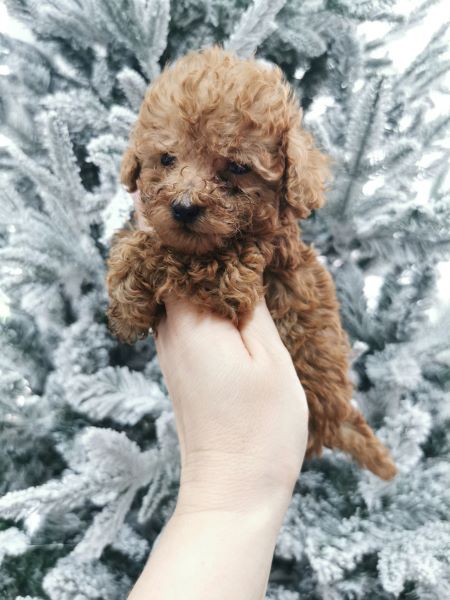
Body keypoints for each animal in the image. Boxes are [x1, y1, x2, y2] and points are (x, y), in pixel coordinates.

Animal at [107, 45, 396, 478]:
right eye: (167, 159)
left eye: (238, 168)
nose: (183, 208)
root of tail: (339, 415)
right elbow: (138, 240)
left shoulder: (230, 272)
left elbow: (164, 252)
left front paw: (128, 303)